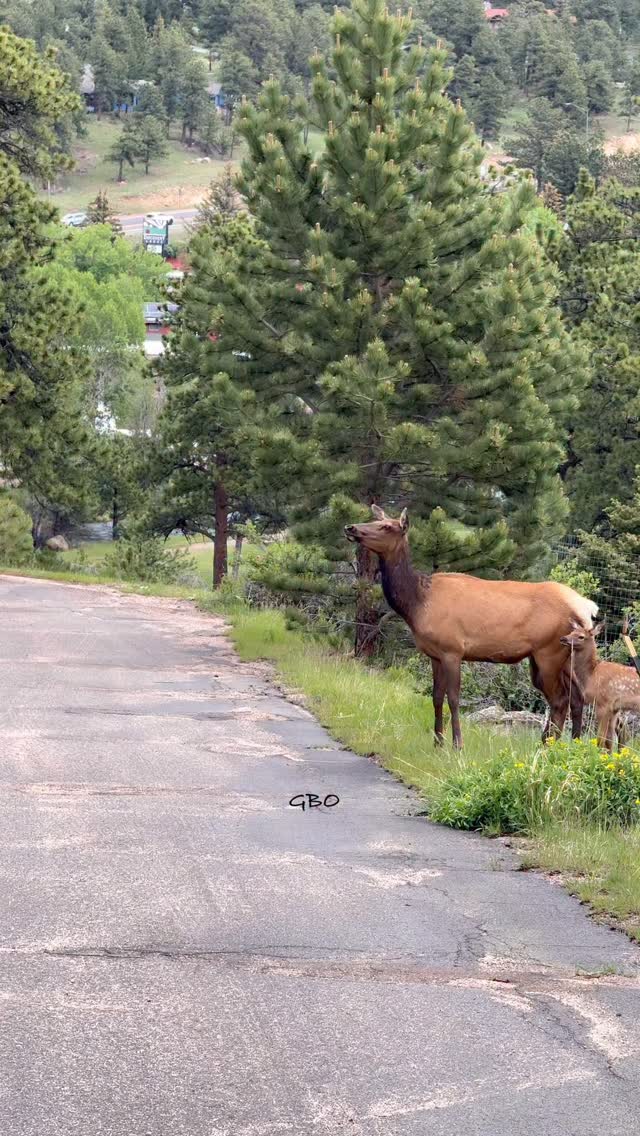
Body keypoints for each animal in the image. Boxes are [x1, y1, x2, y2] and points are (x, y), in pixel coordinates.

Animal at [344, 506, 599, 748]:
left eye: (387, 526)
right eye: (375, 520)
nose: (350, 527)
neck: (417, 605)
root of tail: (586, 607)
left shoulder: (452, 649)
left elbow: (454, 698)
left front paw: (457, 744)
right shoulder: (435, 654)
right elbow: (436, 697)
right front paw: (437, 742)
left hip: (549, 653)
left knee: (559, 700)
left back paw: (546, 746)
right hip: (562, 657)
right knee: (576, 699)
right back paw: (566, 744)